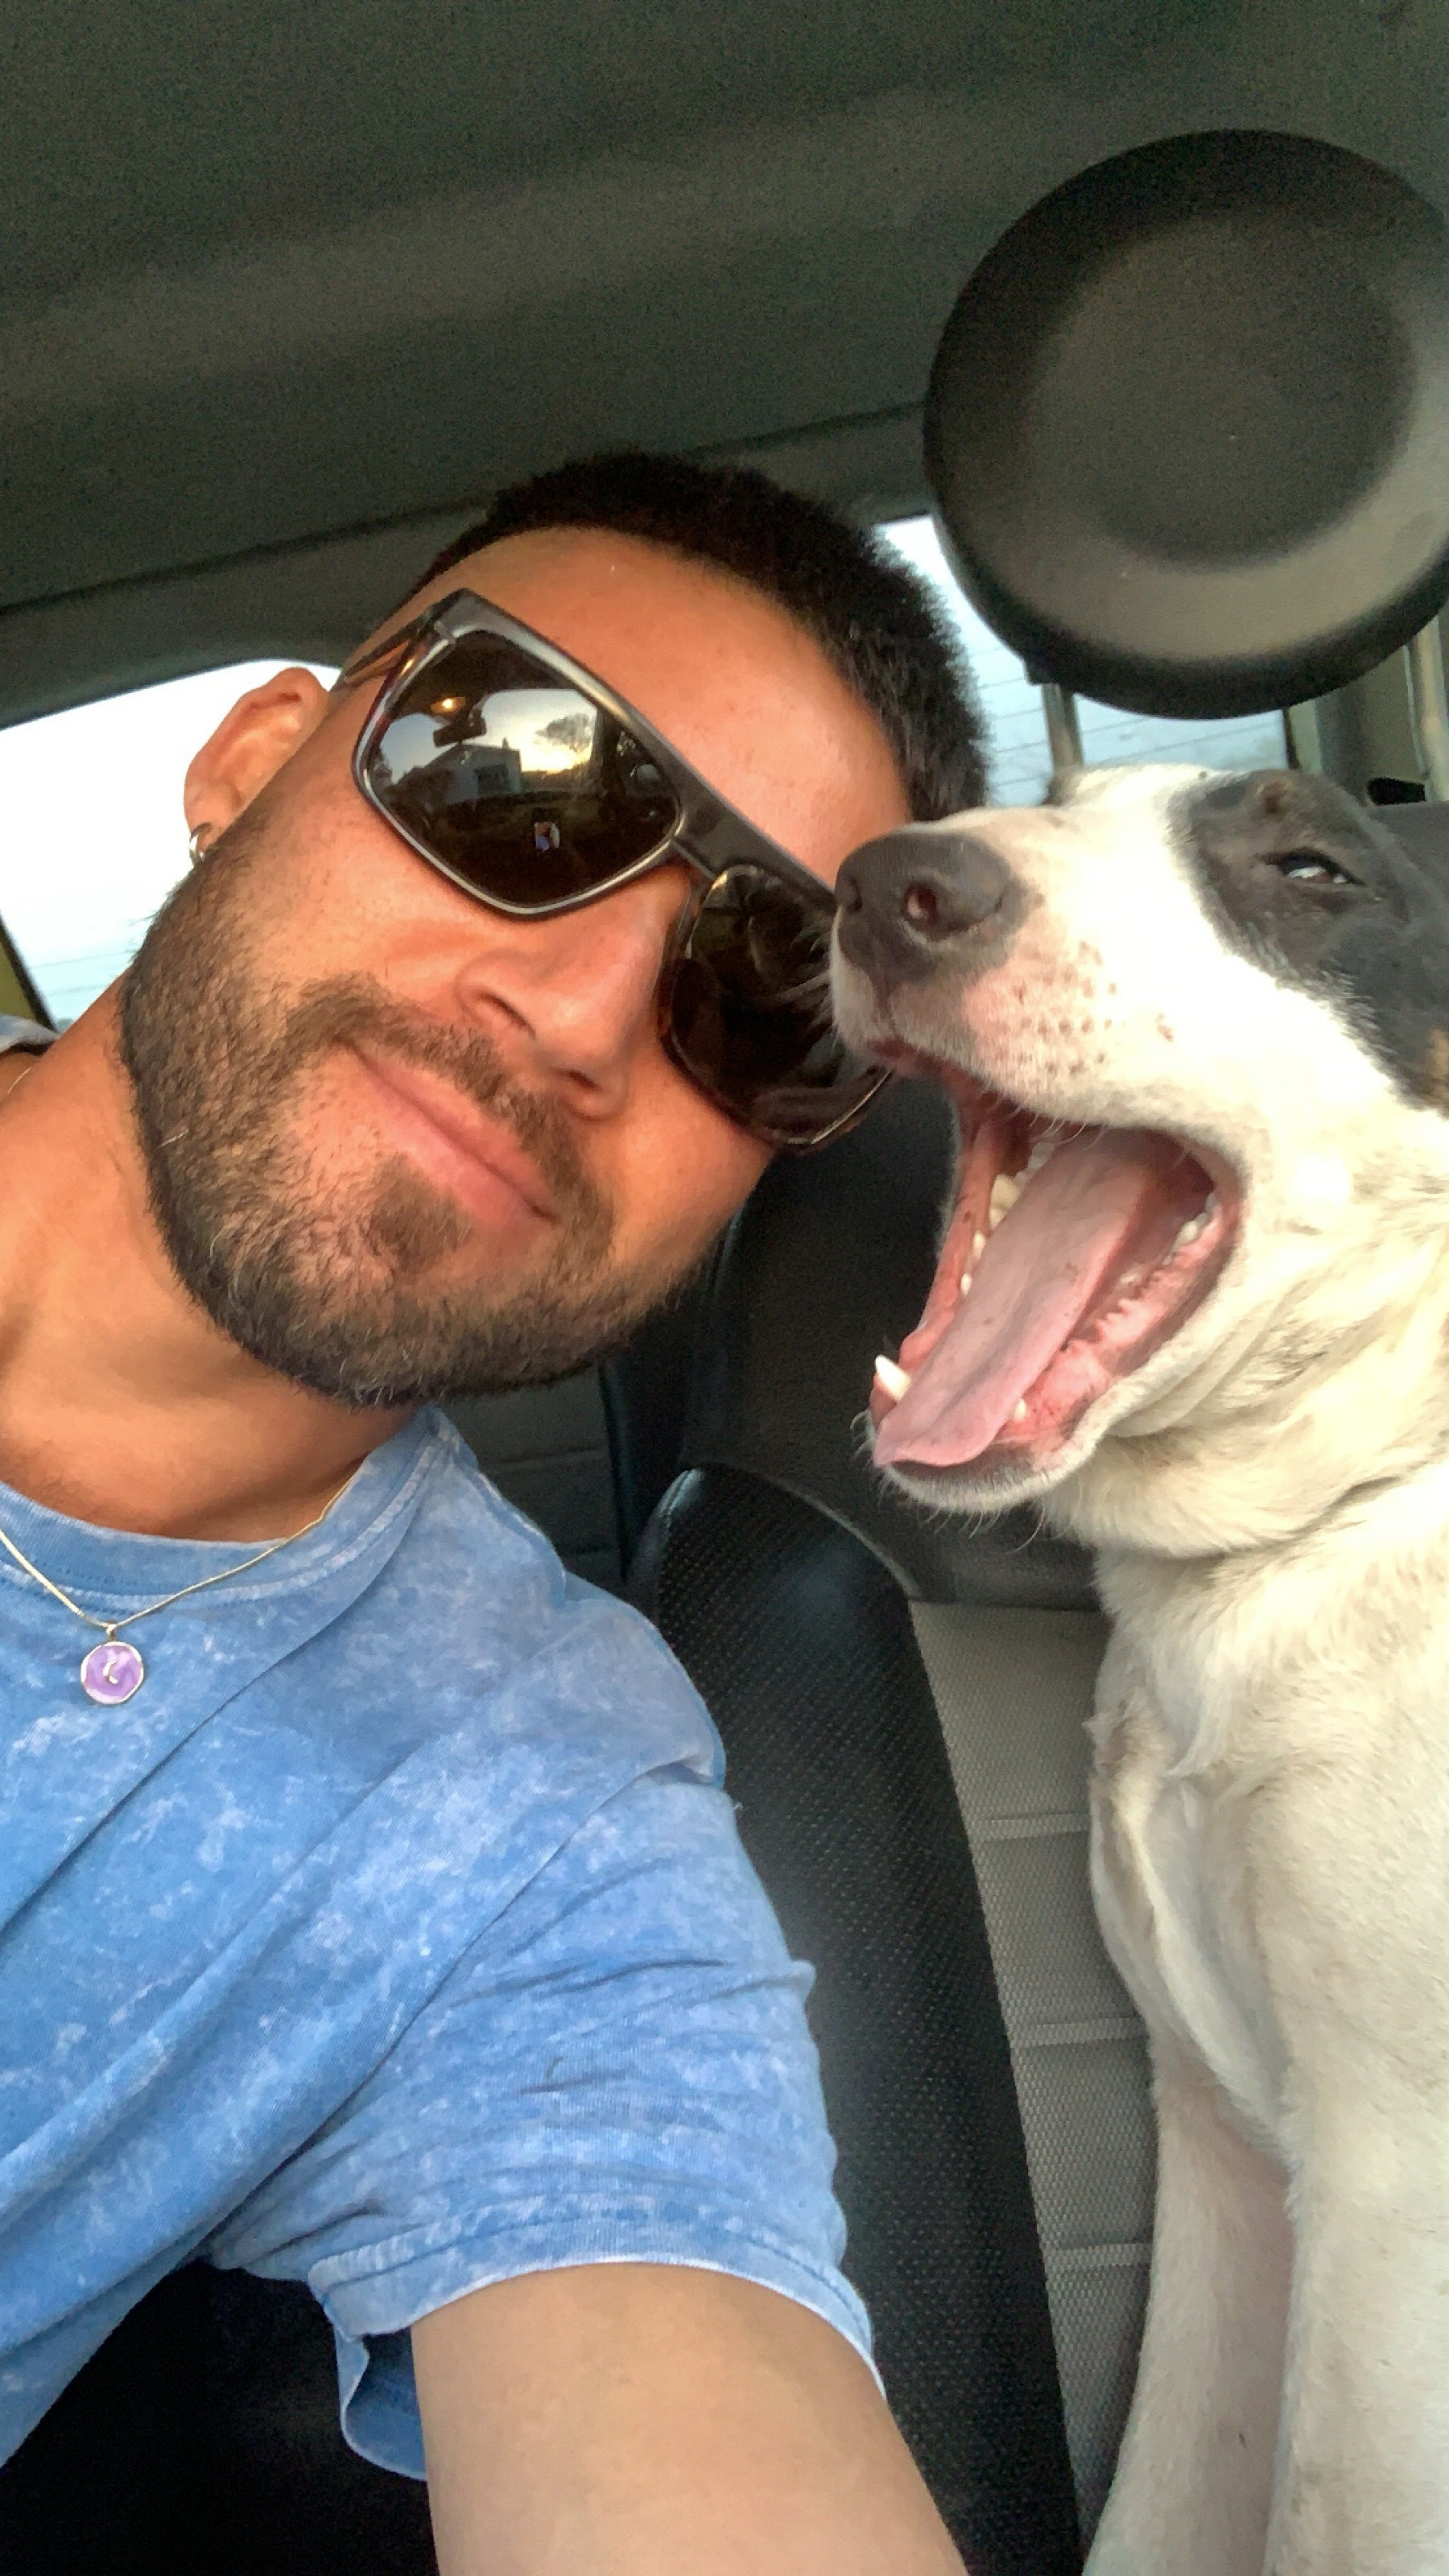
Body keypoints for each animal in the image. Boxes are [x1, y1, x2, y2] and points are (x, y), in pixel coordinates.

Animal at [831, 764, 1449, 2576]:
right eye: (1057, 797)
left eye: (1310, 867)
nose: (890, 885)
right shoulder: (1233, 2160)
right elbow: (1174, 2504)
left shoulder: (1391, 2197)